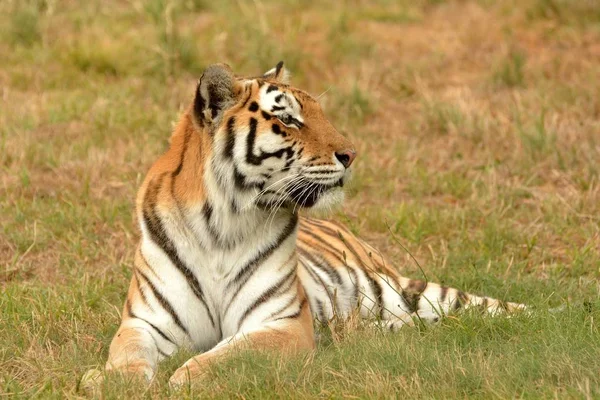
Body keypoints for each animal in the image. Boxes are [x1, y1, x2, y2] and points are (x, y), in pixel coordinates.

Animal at [81, 62, 524, 390]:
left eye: (319, 113)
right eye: (290, 120)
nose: (351, 154)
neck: (220, 223)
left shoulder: (281, 322)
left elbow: (228, 356)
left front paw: (183, 379)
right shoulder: (145, 322)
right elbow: (126, 353)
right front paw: (112, 382)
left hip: (410, 292)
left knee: (490, 307)